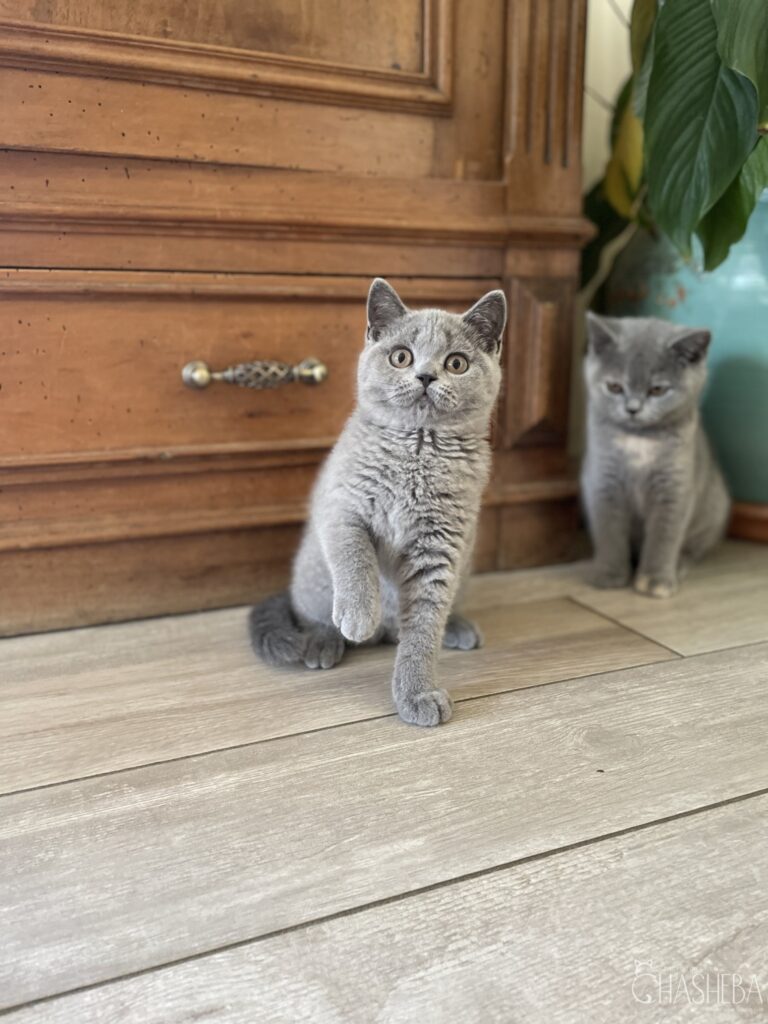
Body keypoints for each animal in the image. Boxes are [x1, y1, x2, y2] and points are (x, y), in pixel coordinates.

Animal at [249, 276, 507, 724]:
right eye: (401, 357)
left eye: (456, 363)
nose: (425, 376)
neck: (418, 451)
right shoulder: (342, 506)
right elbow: (356, 557)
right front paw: (357, 615)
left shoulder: (440, 548)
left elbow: (423, 629)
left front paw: (416, 693)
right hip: (312, 579)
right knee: (311, 613)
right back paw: (326, 641)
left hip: (465, 569)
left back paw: (457, 627)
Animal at [581, 315, 729, 598]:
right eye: (614, 387)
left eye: (658, 390)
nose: (632, 409)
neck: (639, 438)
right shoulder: (603, 481)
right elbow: (609, 531)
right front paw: (609, 573)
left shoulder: (674, 487)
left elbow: (664, 536)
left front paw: (655, 580)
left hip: (714, 508)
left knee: (692, 548)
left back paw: (679, 564)